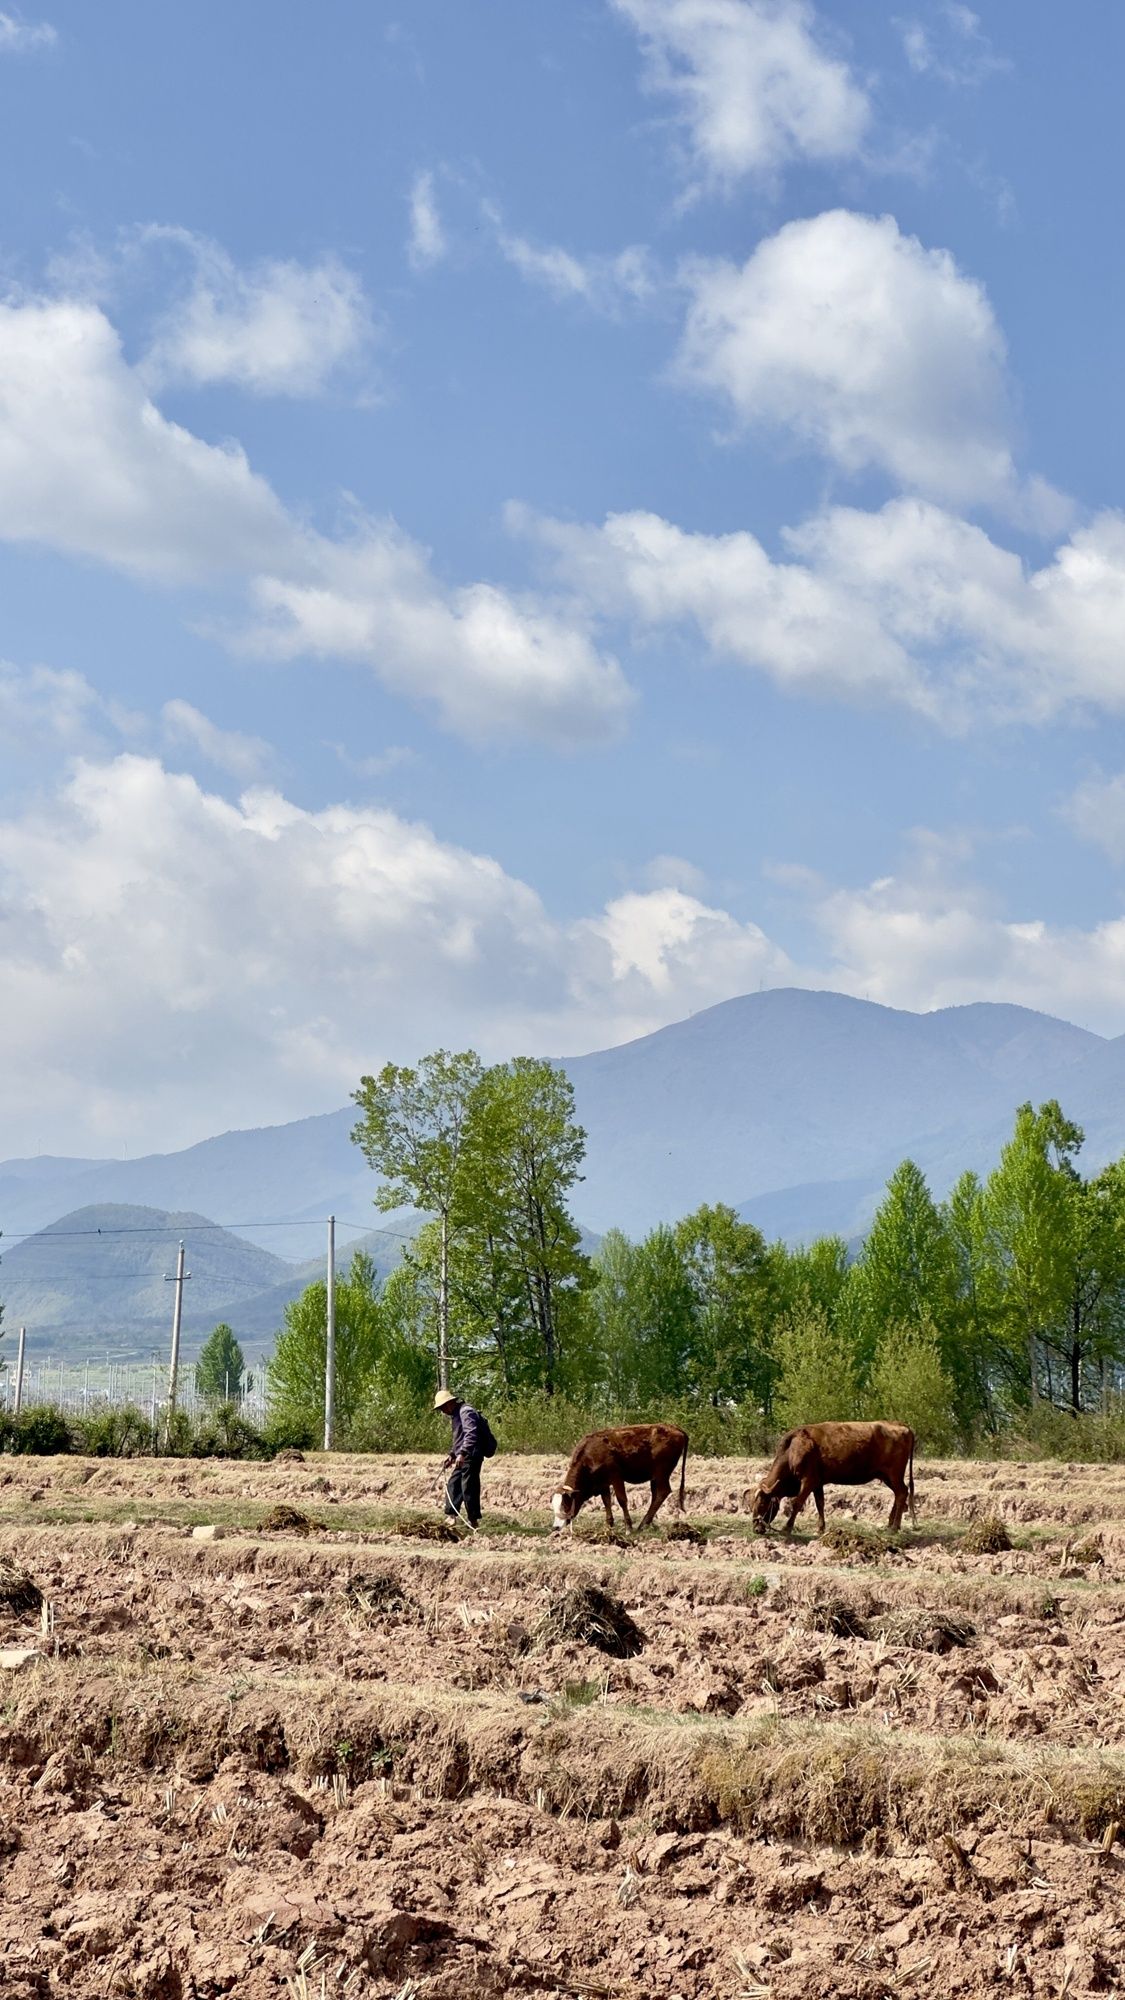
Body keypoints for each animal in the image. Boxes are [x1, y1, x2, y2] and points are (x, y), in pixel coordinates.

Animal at [548, 1424, 688, 1528]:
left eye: (565, 1505)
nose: (556, 1527)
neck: (590, 1455)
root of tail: (676, 1429)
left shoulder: (616, 1477)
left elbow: (622, 1500)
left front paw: (628, 1527)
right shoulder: (603, 1483)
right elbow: (606, 1501)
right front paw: (609, 1524)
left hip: (661, 1473)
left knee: (663, 1492)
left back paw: (642, 1524)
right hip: (655, 1477)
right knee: (656, 1495)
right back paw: (648, 1523)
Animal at [744, 1416, 912, 1536]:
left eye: (762, 1504)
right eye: (751, 1505)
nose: (756, 1529)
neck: (793, 1449)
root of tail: (900, 1425)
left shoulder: (808, 1481)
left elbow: (797, 1503)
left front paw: (787, 1528)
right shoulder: (817, 1483)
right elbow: (820, 1504)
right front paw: (820, 1528)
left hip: (894, 1474)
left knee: (902, 1493)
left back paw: (894, 1527)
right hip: (887, 1476)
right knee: (899, 1494)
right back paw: (890, 1525)